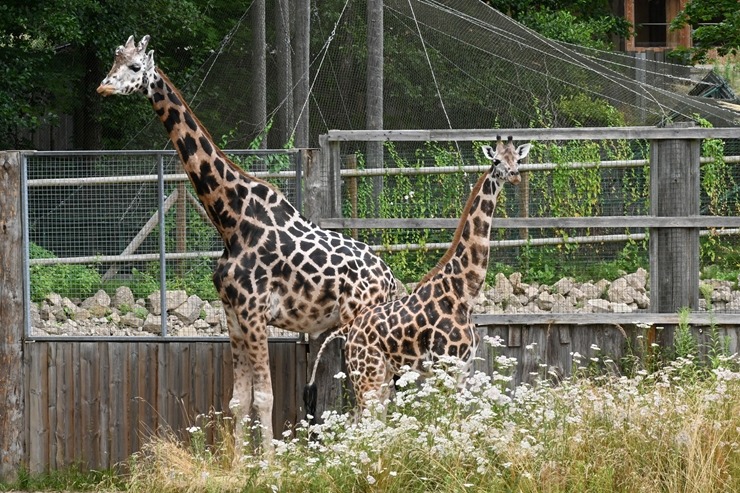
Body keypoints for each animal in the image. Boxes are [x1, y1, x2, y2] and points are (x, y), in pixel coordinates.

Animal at [97, 34, 398, 448]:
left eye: (135, 66)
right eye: (113, 60)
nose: (103, 87)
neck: (231, 220)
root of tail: (390, 278)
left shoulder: (255, 313)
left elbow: (265, 397)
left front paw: (268, 461)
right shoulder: (233, 314)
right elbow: (238, 400)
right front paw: (238, 460)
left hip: (358, 327)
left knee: (371, 397)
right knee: (379, 397)